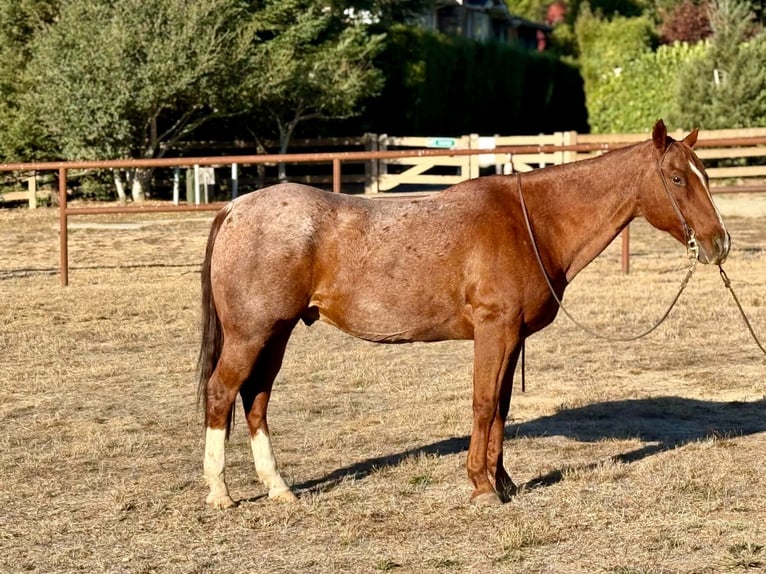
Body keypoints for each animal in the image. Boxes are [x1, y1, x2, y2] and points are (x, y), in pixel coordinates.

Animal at [197, 120, 730, 508]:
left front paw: (504, 480)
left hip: (276, 333)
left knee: (256, 399)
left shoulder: (512, 337)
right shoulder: (494, 331)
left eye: (705, 174)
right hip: (252, 334)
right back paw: (221, 492)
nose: (719, 243)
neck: (530, 222)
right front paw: (481, 485)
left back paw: (279, 488)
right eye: (678, 178)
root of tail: (235, 208)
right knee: (222, 393)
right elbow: (483, 403)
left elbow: (502, 407)